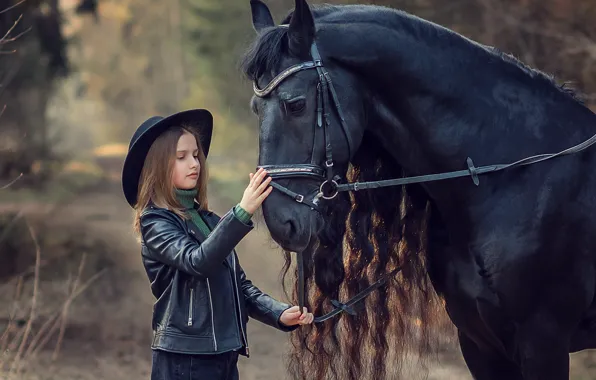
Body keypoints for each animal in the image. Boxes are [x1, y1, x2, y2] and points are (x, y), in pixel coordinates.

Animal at [241, 1, 596, 378]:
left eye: (295, 104)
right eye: (256, 108)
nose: (280, 220)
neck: (509, 176)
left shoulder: (542, 343)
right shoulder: (479, 342)